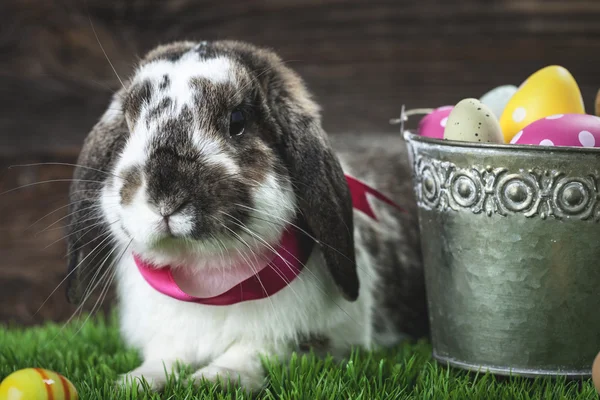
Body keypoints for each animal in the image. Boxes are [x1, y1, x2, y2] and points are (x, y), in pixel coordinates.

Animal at [65, 39, 428, 390]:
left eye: (237, 122)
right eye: (129, 122)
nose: (165, 198)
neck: (208, 283)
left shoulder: (314, 340)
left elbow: (257, 352)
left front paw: (216, 379)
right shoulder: (168, 339)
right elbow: (166, 357)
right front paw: (134, 381)